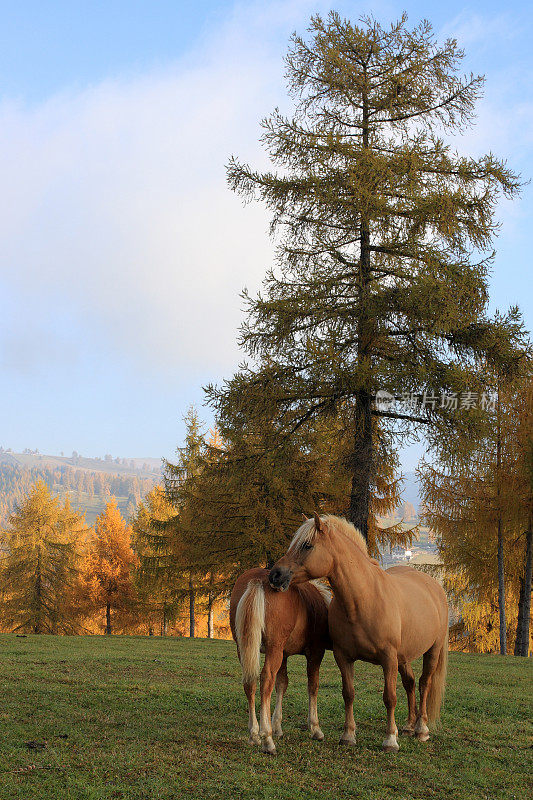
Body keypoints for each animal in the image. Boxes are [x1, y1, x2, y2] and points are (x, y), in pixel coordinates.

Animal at [228, 564, 328, 752]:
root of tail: (257, 580)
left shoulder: (284, 655)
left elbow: (282, 684)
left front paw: (277, 727)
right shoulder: (315, 653)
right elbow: (313, 686)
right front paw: (315, 728)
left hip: (245, 649)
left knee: (250, 682)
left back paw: (254, 734)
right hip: (274, 649)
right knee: (266, 679)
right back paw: (266, 738)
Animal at [268, 516, 446, 752]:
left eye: (307, 545)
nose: (275, 575)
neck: (363, 598)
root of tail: (433, 585)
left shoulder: (388, 659)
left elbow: (389, 697)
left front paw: (390, 740)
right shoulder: (343, 657)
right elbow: (348, 694)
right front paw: (348, 735)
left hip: (431, 651)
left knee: (424, 683)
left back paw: (421, 729)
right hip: (404, 657)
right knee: (410, 683)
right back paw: (408, 726)